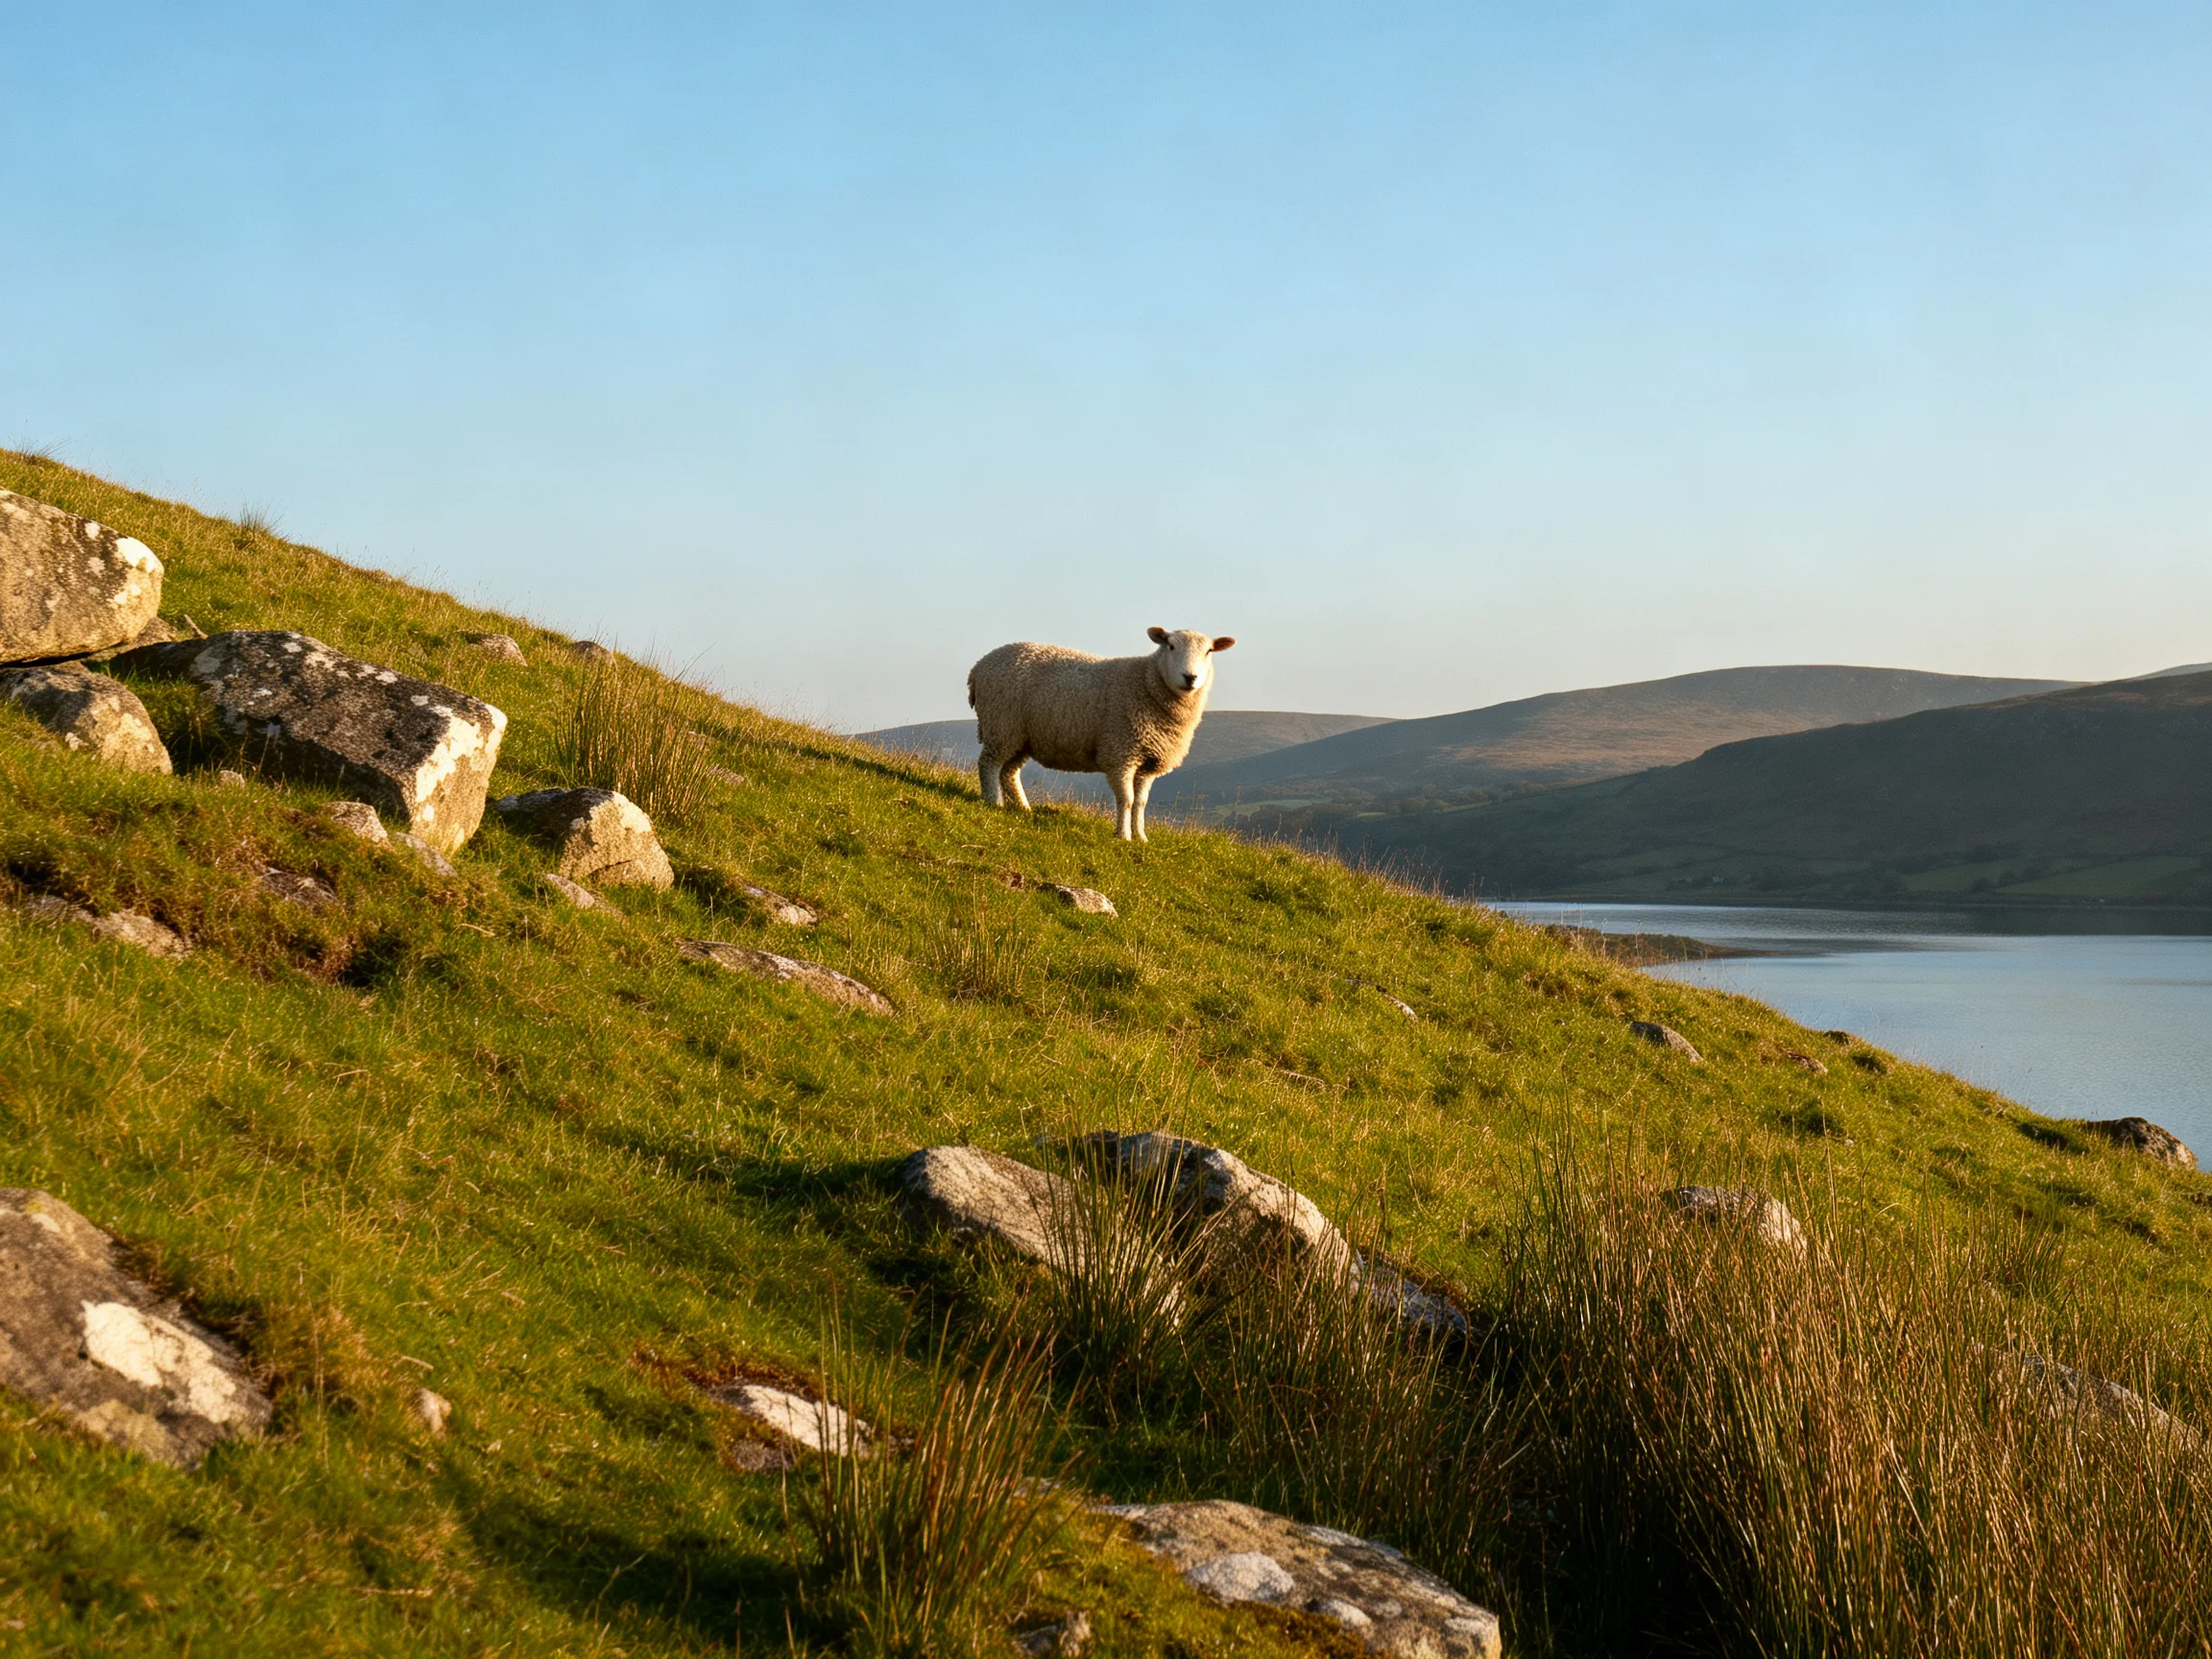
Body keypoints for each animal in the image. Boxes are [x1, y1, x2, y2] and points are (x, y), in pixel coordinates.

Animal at [967, 626, 1235, 842]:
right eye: (1170, 646)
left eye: (1209, 651)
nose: (1190, 677)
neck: (1147, 683)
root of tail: (978, 667)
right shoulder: (1121, 753)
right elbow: (1127, 800)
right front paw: (1123, 836)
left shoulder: (1148, 762)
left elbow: (1141, 803)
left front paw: (1141, 837)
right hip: (1001, 723)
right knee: (989, 764)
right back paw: (993, 802)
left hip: (1021, 736)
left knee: (1009, 772)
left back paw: (1023, 808)